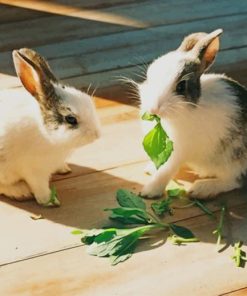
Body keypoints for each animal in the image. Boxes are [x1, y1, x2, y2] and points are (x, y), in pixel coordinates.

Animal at [0, 48, 101, 206]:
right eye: (71, 119)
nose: (97, 134)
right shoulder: (34, 171)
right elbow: (40, 188)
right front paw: (50, 201)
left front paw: (64, 169)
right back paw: (20, 192)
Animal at [138, 29, 247, 199]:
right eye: (149, 76)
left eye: (181, 87)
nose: (153, 109)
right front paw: (150, 169)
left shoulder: (177, 152)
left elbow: (165, 172)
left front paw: (149, 191)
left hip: (234, 160)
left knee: (234, 180)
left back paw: (201, 189)